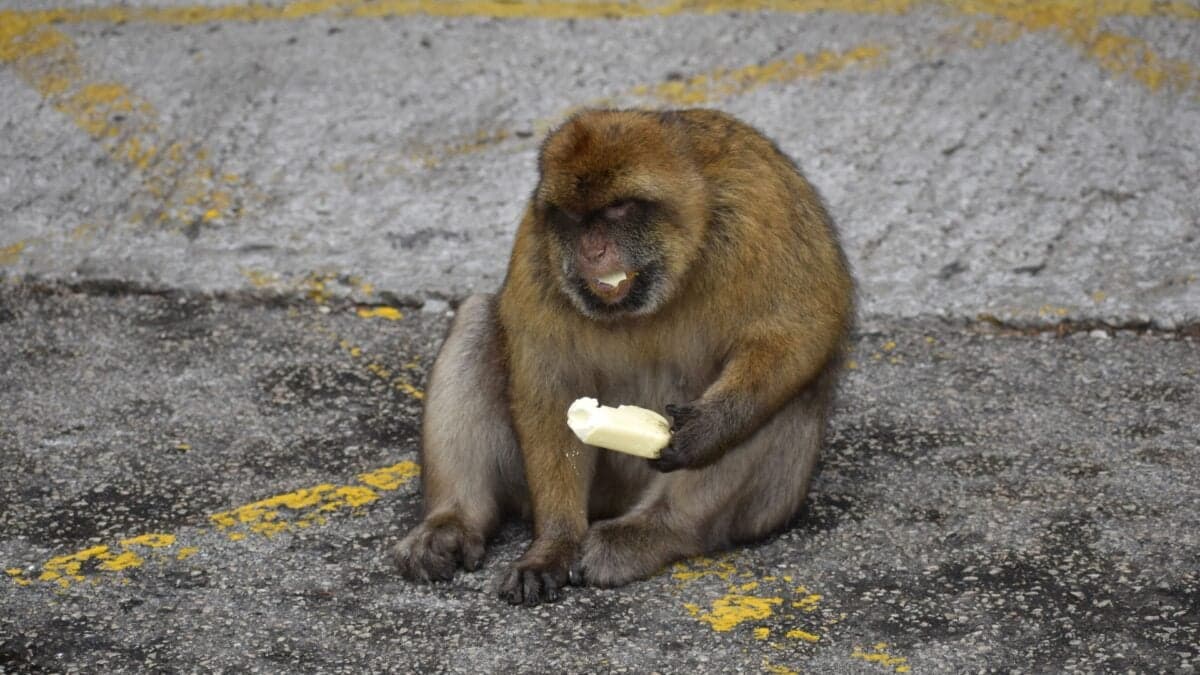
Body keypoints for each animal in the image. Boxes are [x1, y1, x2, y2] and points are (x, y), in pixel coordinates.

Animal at [392, 108, 854, 606]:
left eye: (617, 210)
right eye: (573, 217)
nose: (591, 251)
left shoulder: (762, 211)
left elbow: (798, 330)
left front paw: (709, 428)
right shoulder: (537, 250)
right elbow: (552, 390)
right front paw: (554, 543)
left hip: (773, 502)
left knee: (787, 390)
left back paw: (654, 532)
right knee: (477, 317)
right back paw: (453, 521)